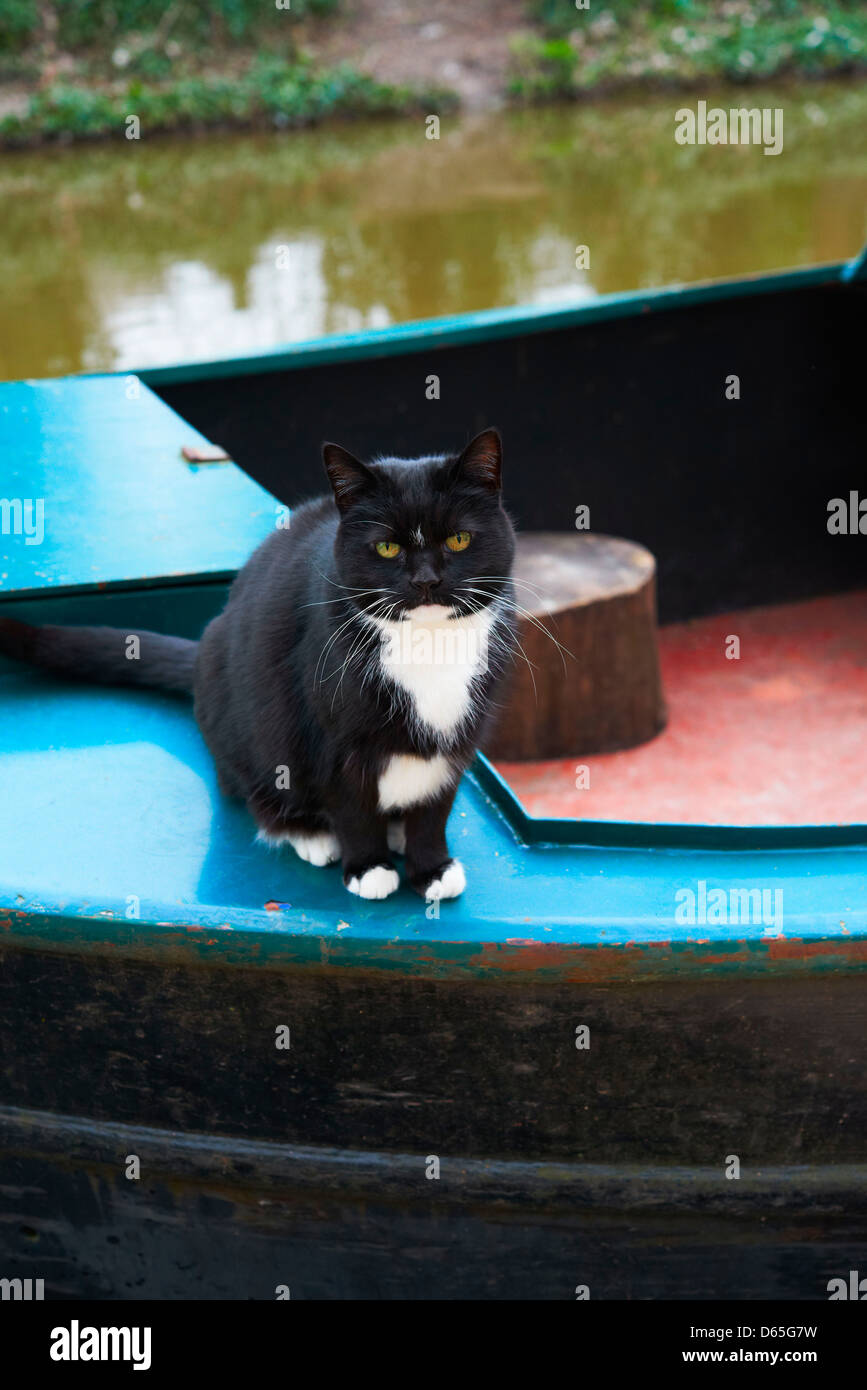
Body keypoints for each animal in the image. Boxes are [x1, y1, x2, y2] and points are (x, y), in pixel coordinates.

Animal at [0, 422, 514, 900]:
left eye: (460, 540)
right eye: (387, 547)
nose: (426, 581)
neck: (428, 643)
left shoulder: (460, 737)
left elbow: (435, 806)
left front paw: (432, 868)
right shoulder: (328, 735)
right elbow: (351, 804)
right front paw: (367, 866)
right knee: (250, 790)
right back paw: (309, 833)